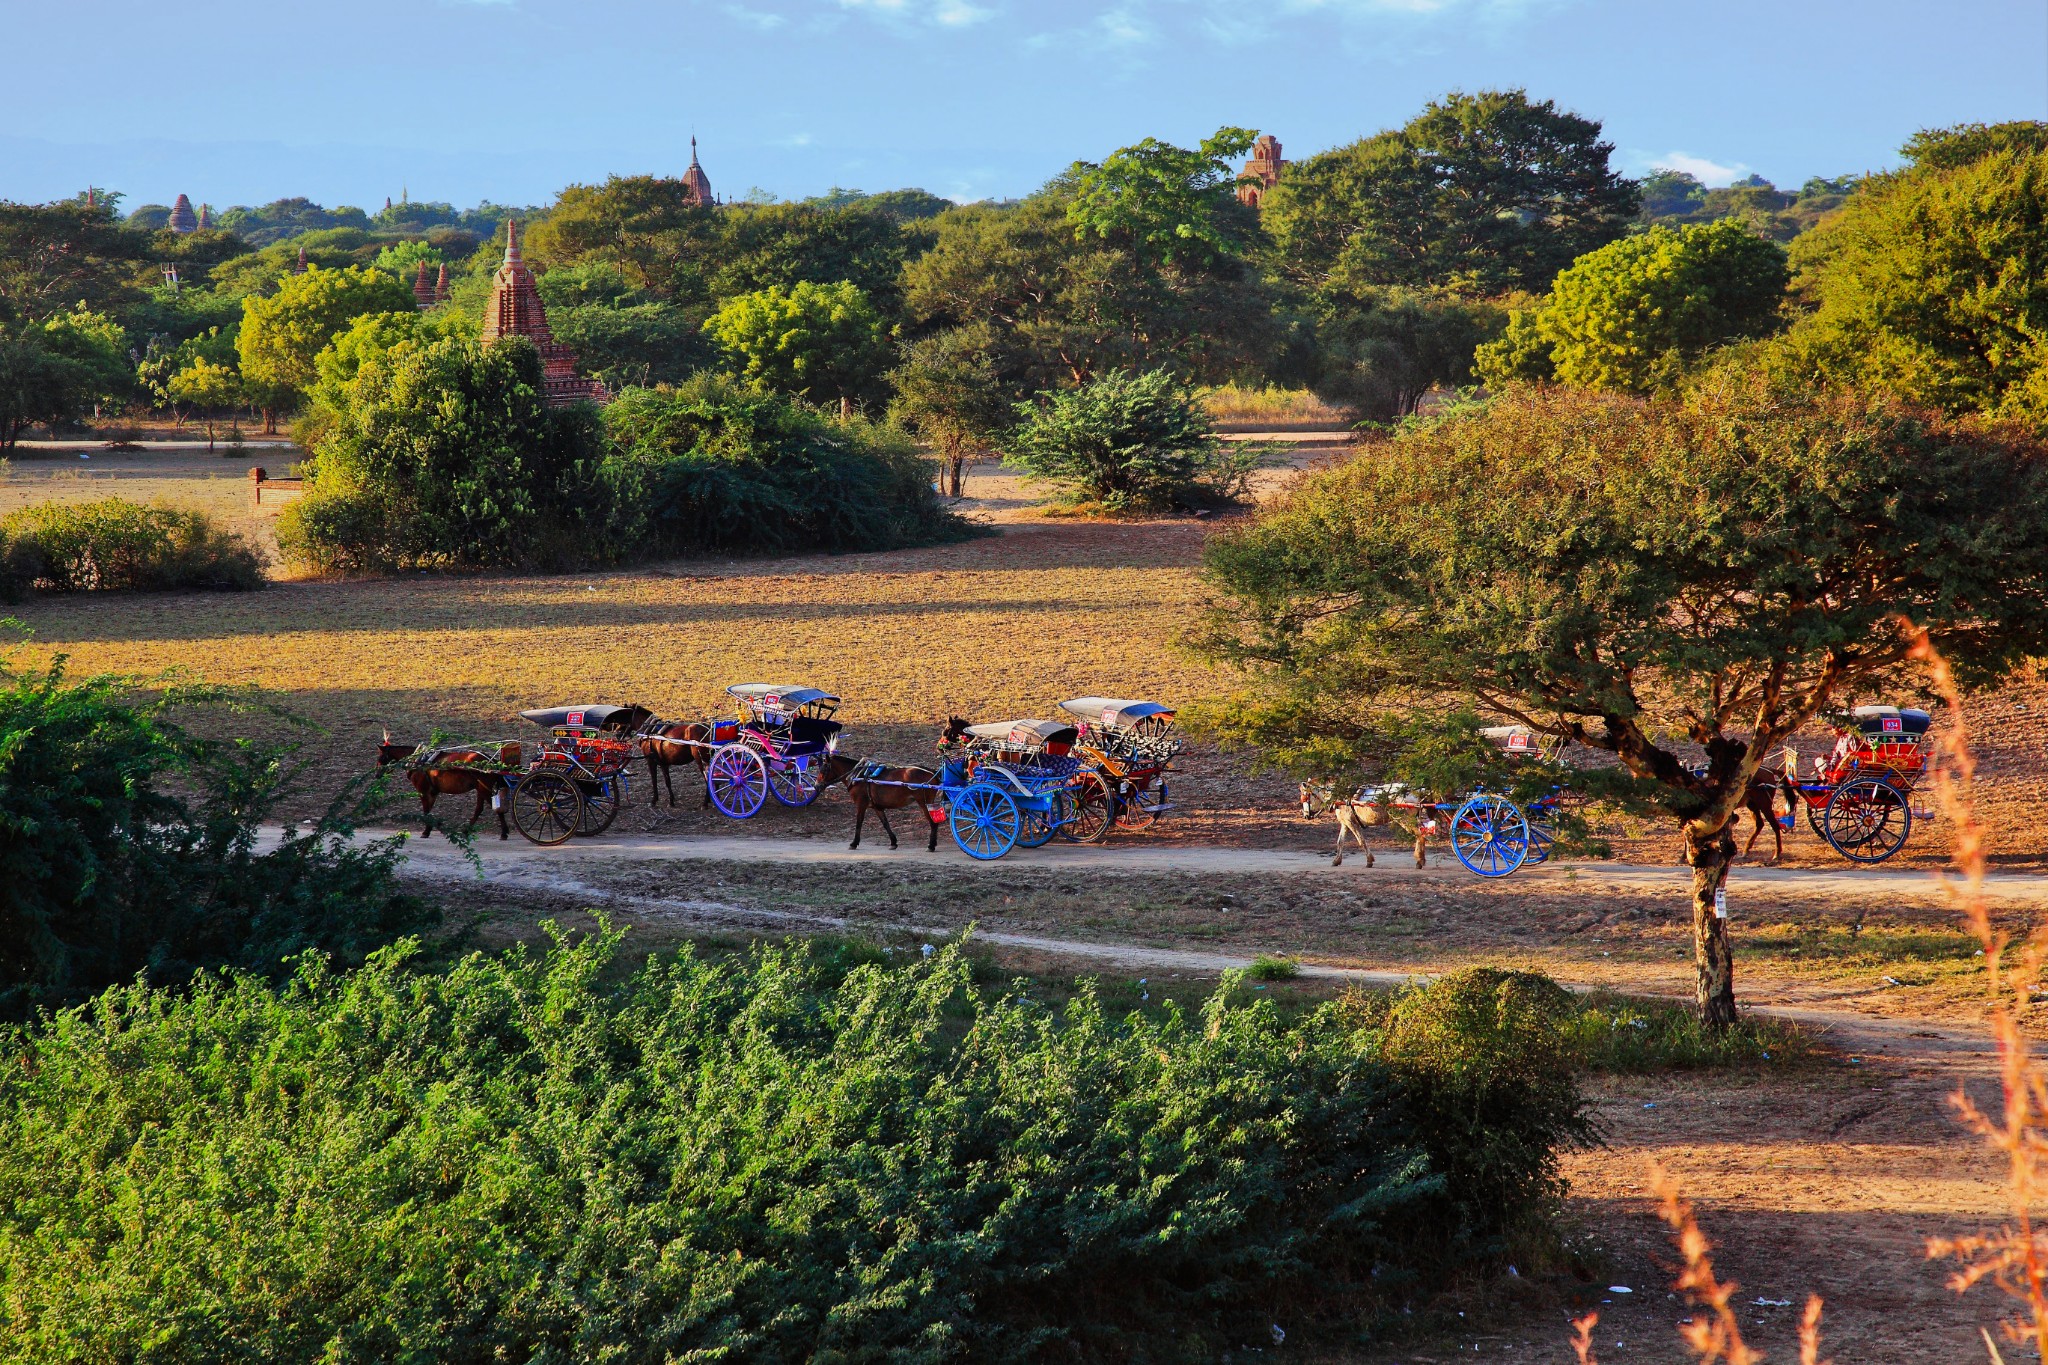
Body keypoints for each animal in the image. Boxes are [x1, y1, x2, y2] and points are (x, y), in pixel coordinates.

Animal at [378, 736, 520, 843]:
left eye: (381, 758)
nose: (376, 774)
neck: (419, 761)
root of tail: (490, 760)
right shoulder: (432, 792)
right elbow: (429, 811)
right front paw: (435, 828)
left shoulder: (423, 791)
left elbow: (426, 811)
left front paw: (426, 831)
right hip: (481, 788)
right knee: (479, 809)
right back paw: (467, 830)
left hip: (484, 788)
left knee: (496, 810)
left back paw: (503, 833)